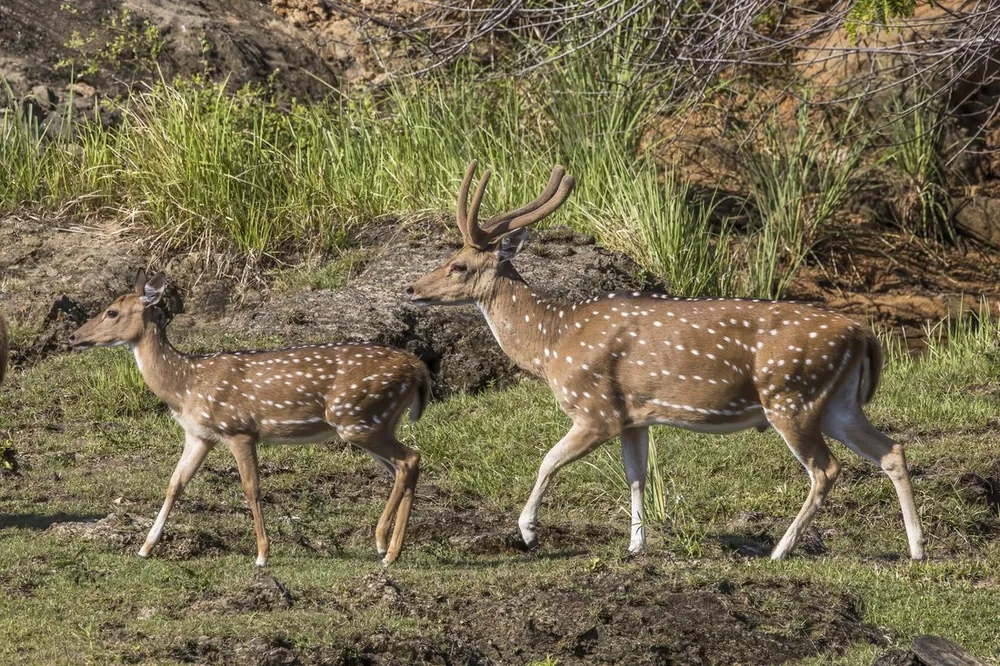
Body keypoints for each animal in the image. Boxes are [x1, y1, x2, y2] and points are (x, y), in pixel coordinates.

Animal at [70, 269, 429, 566]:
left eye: (111, 312)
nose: (74, 337)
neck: (185, 386)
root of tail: (417, 367)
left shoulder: (238, 429)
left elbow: (251, 487)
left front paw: (262, 554)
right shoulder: (199, 435)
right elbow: (175, 483)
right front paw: (145, 547)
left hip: (358, 418)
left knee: (409, 458)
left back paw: (383, 546)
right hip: (376, 421)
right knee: (406, 465)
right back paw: (392, 549)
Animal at [406, 161, 926, 561]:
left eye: (458, 265)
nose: (412, 288)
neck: (552, 344)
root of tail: (863, 334)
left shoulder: (594, 409)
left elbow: (548, 460)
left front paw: (529, 531)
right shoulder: (633, 415)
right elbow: (636, 476)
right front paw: (636, 546)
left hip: (791, 395)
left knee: (826, 470)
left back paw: (780, 550)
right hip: (838, 402)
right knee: (891, 450)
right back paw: (917, 548)